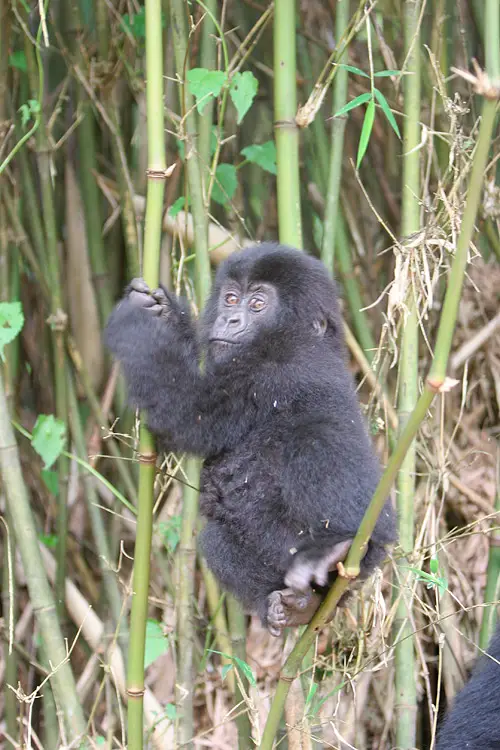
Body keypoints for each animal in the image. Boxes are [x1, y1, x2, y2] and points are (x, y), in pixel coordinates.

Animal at [104, 244, 394, 636]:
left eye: (257, 304)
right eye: (230, 299)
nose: (230, 320)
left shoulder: (276, 366)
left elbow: (188, 411)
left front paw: (137, 321)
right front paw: (165, 310)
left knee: (311, 439)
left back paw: (342, 547)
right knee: (215, 540)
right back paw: (296, 607)